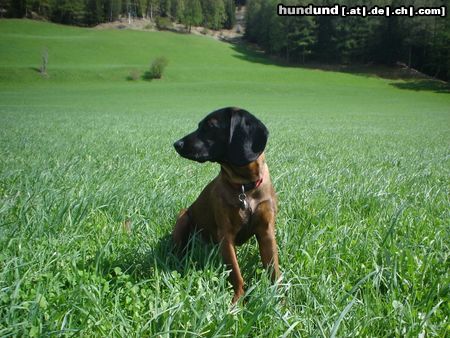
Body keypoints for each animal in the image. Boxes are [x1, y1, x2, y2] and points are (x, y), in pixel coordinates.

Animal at [171, 107, 278, 302]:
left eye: (210, 126)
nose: (177, 144)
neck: (245, 187)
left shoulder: (266, 232)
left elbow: (274, 272)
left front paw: (280, 301)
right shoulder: (226, 236)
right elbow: (236, 273)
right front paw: (237, 300)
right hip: (183, 218)